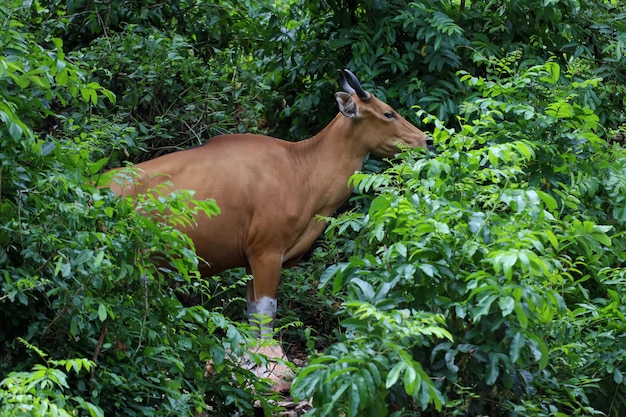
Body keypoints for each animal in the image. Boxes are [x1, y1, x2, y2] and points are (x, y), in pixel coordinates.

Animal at [107, 70, 428, 336]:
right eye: (388, 113)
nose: (426, 139)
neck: (301, 170)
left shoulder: (250, 261)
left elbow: (252, 315)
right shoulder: (267, 253)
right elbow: (266, 315)